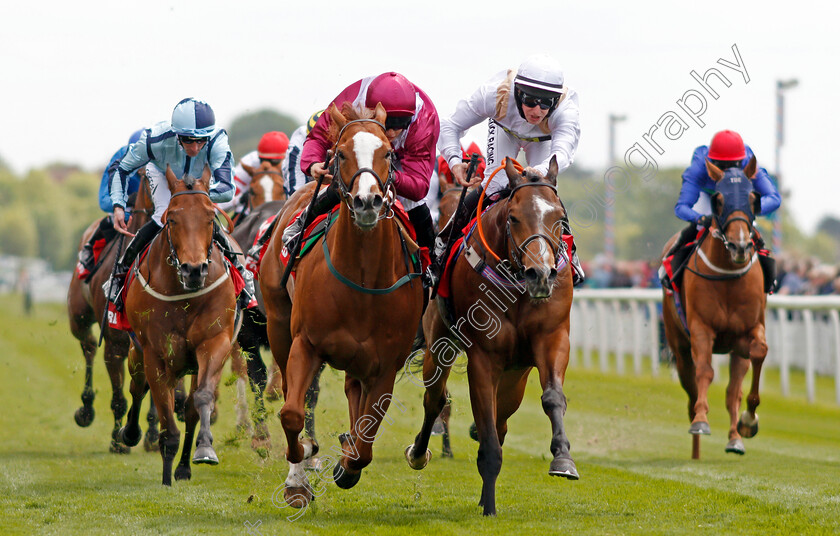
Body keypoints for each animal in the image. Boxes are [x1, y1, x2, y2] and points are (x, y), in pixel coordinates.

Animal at [67, 174, 159, 454]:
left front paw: (153, 434)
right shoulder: (115, 343)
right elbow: (119, 396)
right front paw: (118, 440)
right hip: (78, 317)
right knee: (88, 346)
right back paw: (86, 410)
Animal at [116, 164, 240, 486]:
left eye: (210, 218)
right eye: (171, 218)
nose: (194, 269)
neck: (184, 294)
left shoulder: (215, 342)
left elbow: (200, 400)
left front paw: (203, 450)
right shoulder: (156, 354)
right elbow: (166, 423)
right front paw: (165, 479)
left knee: (189, 406)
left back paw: (184, 466)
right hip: (138, 353)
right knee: (137, 387)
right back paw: (131, 433)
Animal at [260, 102, 424, 508]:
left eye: (389, 153)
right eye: (341, 154)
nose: (367, 202)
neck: (362, 281)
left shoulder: (386, 365)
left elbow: (365, 442)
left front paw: (347, 464)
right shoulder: (305, 344)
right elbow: (291, 412)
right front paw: (298, 476)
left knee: (354, 396)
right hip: (277, 325)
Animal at [406, 156, 576, 516]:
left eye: (559, 217)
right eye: (514, 217)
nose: (541, 274)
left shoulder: (553, 338)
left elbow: (552, 397)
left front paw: (563, 459)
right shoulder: (484, 358)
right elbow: (486, 429)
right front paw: (489, 507)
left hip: (517, 373)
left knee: (502, 418)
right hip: (438, 343)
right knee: (435, 399)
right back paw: (419, 452)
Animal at [664, 157, 768, 458]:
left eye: (753, 198)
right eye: (718, 200)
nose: (740, 245)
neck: (727, 275)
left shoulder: (747, 333)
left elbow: (758, 353)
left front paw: (749, 421)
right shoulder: (701, 328)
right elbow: (705, 372)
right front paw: (700, 421)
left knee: (733, 390)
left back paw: (735, 438)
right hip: (678, 344)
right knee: (690, 385)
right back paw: (695, 440)